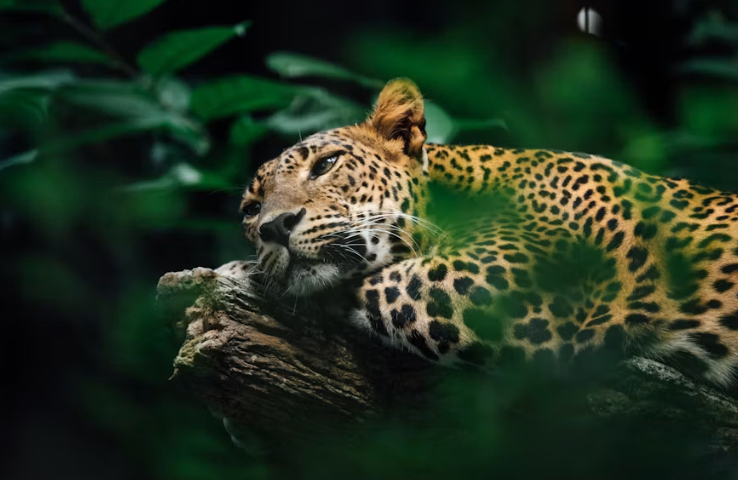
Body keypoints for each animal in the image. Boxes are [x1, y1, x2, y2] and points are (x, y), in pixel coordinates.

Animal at [239, 78, 738, 389]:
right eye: (251, 209)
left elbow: (373, 283)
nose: (273, 228)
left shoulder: (501, 285)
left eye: (325, 164)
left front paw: (239, 272)